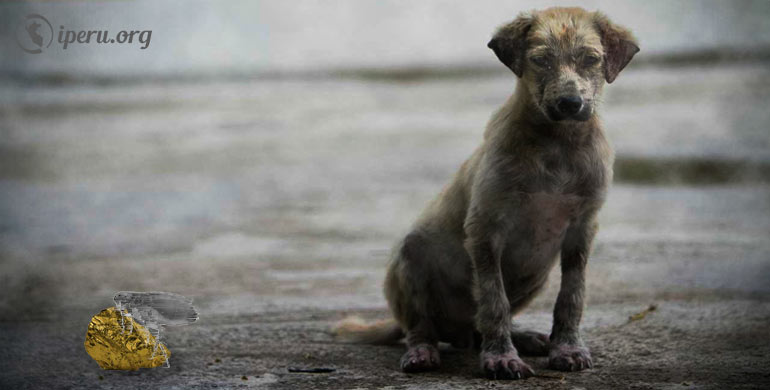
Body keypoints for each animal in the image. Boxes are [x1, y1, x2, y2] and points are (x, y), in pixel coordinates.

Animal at [332, 5, 640, 378]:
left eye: (591, 59)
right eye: (541, 60)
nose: (570, 103)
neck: (557, 146)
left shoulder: (581, 230)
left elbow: (571, 296)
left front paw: (566, 348)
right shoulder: (486, 229)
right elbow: (494, 301)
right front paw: (501, 358)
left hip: (537, 272)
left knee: (477, 327)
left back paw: (525, 337)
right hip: (412, 256)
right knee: (422, 327)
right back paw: (423, 352)